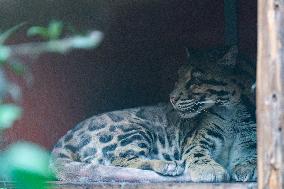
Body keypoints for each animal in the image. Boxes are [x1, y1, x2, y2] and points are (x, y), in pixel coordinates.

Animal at [50, 45, 256, 182]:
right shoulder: (196, 140)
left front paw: (247, 167)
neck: (232, 111)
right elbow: (197, 153)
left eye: (195, 80)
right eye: (178, 78)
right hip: (133, 130)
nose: (172, 98)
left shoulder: (249, 141)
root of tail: (65, 138)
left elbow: (251, 155)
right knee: (117, 161)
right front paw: (208, 169)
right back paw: (169, 165)